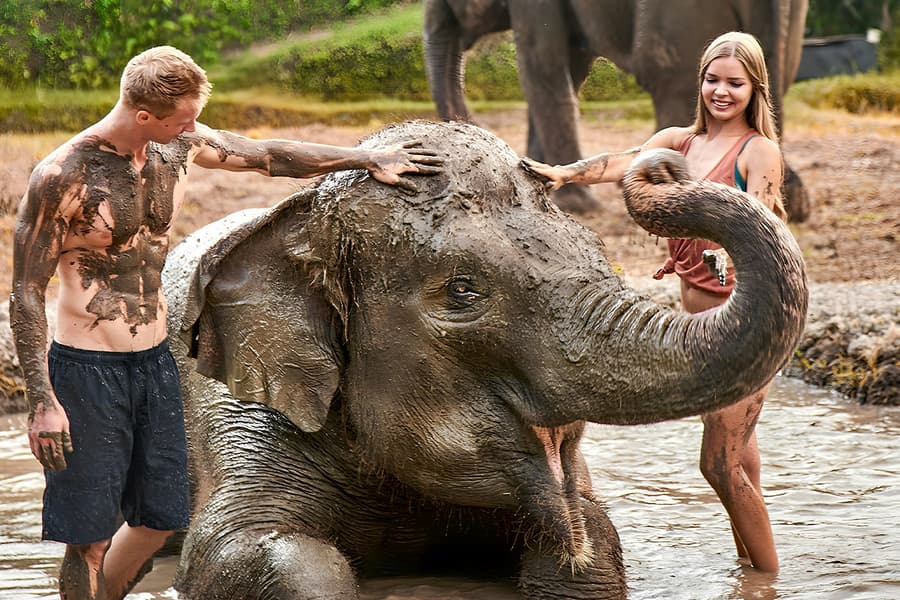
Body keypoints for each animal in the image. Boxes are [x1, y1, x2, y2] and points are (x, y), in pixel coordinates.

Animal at [161, 120, 808, 599]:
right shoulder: (238, 412)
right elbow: (248, 553)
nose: (662, 164)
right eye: (463, 291)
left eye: (597, 252)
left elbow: (593, 536)